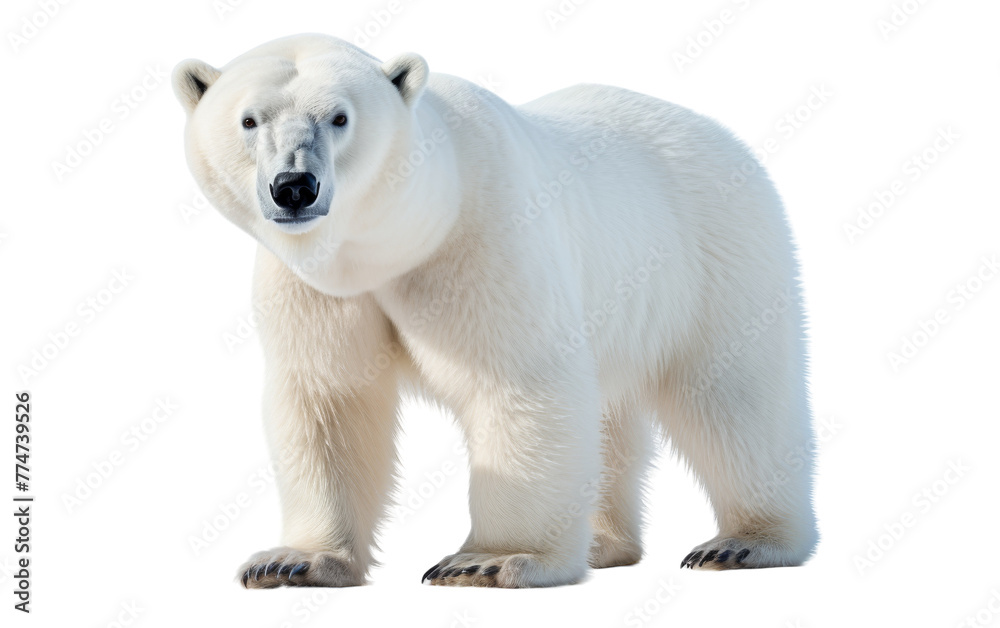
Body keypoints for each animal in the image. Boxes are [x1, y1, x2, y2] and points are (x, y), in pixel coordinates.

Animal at [172, 33, 818, 589]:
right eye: (249, 120)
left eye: (340, 117)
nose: (294, 186)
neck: (399, 238)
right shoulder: (316, 290)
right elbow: (330, 400)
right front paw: (291, 561)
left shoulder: (483, 238)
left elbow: (517, 382)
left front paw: (486, 560)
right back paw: (600, 542)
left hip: (716, 256)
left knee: (736, 400)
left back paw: (744, 542)